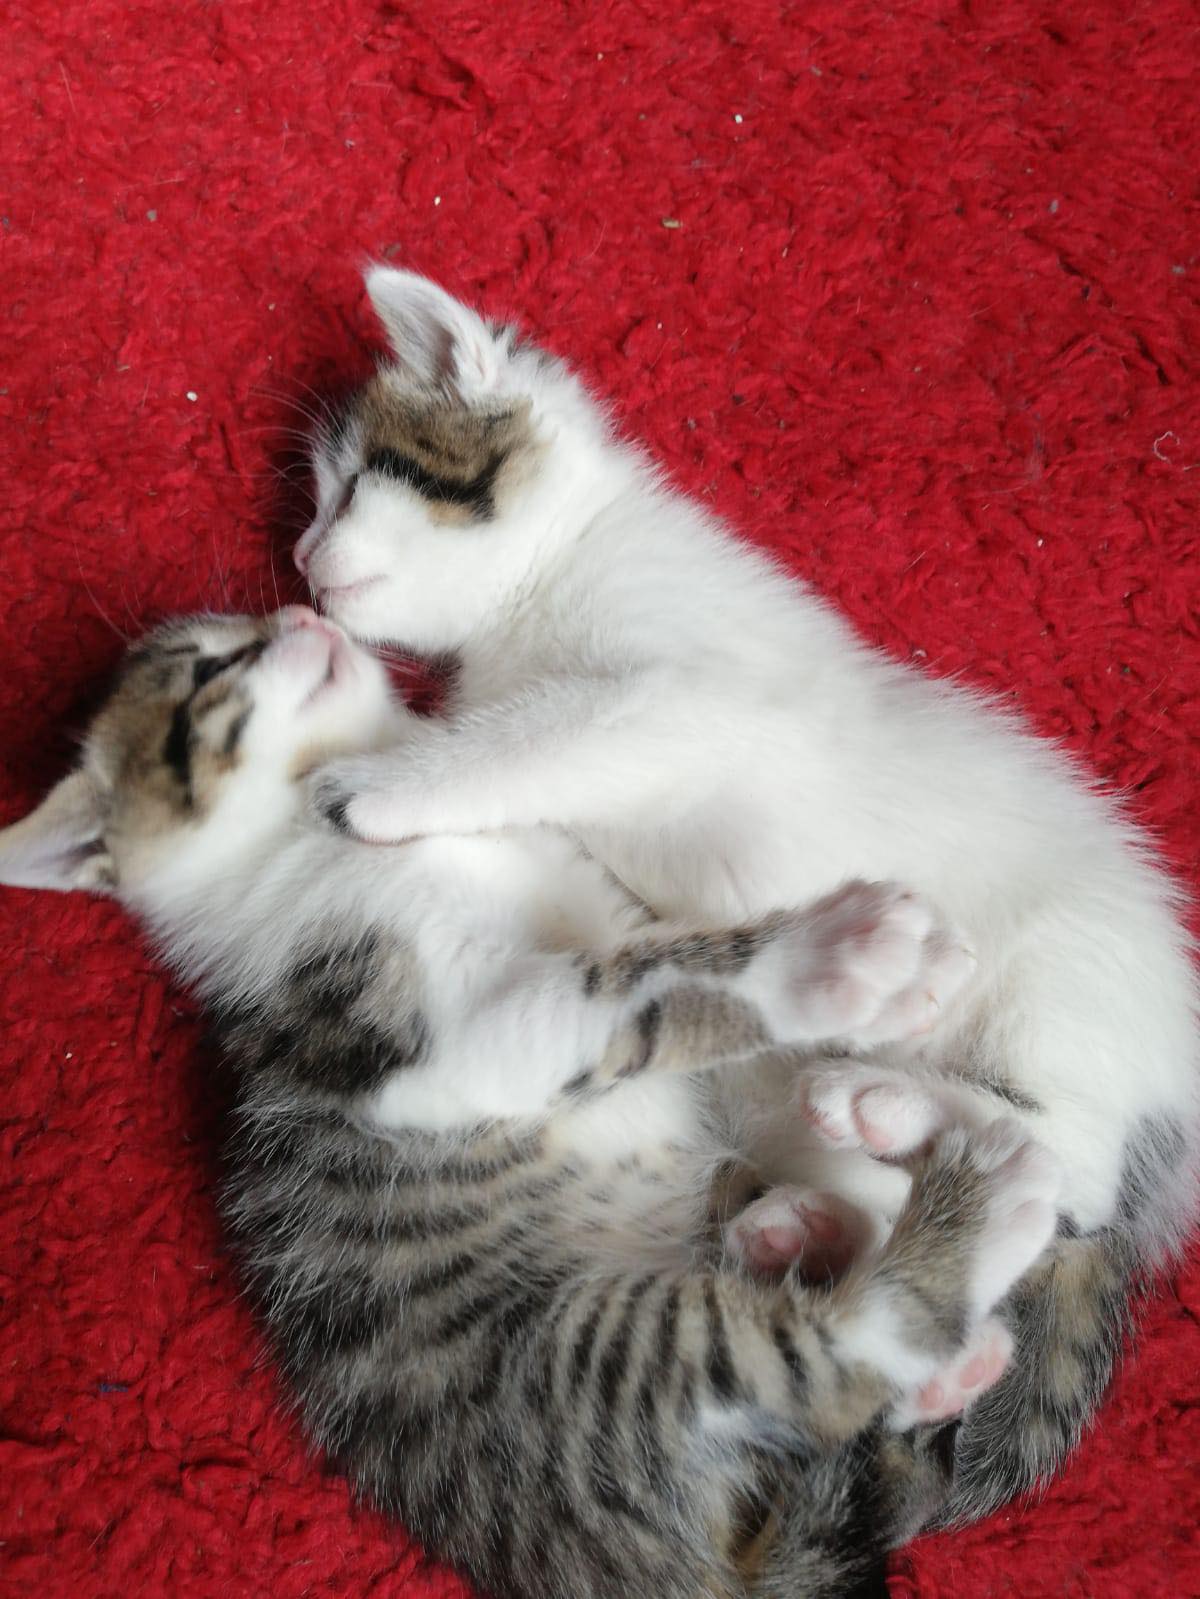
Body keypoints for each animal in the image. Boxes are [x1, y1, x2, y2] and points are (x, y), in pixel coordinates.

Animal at [0, 606, 1060, 1599]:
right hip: (611, 1354)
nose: (302, 615)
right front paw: (832, 957)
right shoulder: (435, 1045)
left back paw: (845, 1201)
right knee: (851, 1350)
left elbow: (655, 940)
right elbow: (641, 975)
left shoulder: (592, 889)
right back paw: (987, 1196)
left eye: (256, 629)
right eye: (208, 672)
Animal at [295, 267, 1199, 1522]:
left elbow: (535, 735)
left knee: (1071, 1164)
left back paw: (892, 1104)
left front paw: (383, 784)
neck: (552, 570)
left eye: (350, 486)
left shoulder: (679, 696)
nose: (301, 558)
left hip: (1064, 987)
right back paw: (817, 1239)